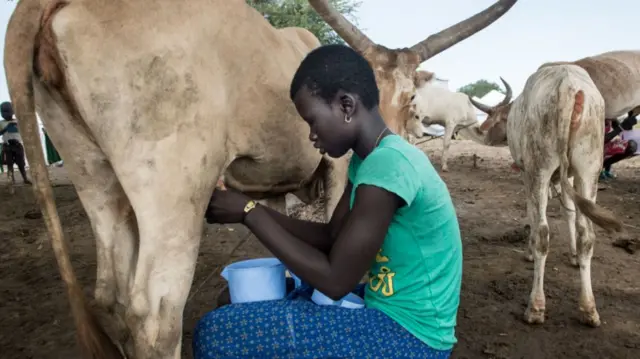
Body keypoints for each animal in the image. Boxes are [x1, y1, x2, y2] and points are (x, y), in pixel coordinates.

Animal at [3, 0, 520, 359]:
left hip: (92, 172)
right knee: (154, 315)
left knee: (110, 296)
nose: (398, 131)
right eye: (412, 97)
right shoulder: (336, 170)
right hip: (173, 183)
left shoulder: (268, 189)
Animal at [472, 64, 624, 330]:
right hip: (589, 168)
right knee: (587, 234)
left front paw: (528, 252)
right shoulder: (570, 176)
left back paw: (535, 307)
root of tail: (569, 86)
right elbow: (570, 211)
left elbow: (532, 213)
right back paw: (589, 308)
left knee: (543, 231)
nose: (484, 135)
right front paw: (573, 255)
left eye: (496, 118)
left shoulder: (527, 173)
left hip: (540, 167)